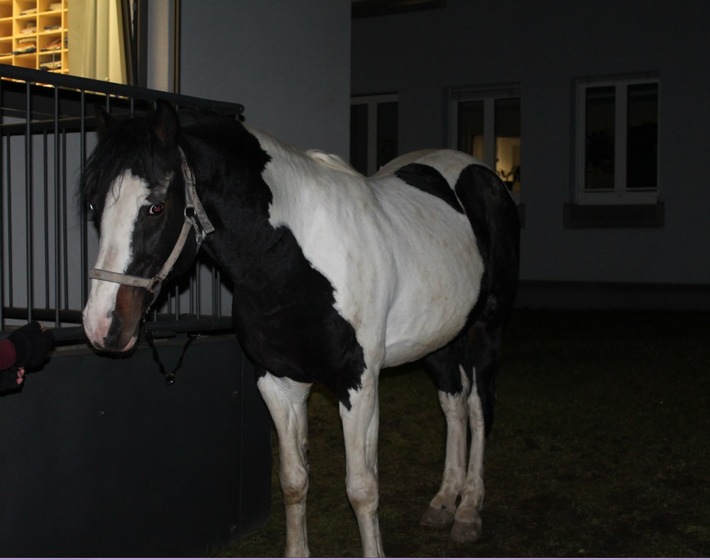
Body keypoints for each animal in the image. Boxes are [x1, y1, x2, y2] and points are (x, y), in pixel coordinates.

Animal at [80, 99, 520, 556]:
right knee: (454, 402)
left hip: (487, 328)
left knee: (480, 407)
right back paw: (444, 501)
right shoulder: (278, 383)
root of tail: (485, 175)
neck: (293, 261)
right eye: (93, 206)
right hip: (438, 340)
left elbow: (362, 489)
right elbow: (293, 481)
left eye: (155, 207)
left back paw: (468, 509)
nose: (101, 324)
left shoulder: (358, 384)